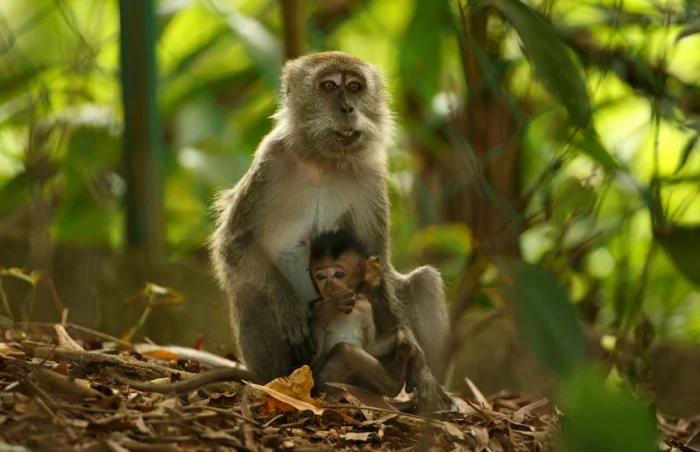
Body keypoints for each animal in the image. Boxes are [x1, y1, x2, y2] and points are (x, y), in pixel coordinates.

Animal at [209, 51, 448, 412]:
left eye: (354, 87)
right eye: (328, 86)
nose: (347, 108)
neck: (324, 160)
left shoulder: (370, 177)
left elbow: (377, 267)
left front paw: (420, 370)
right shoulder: (270, 159)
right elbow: (234, 242)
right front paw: (289, 306)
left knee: (425, 281)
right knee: (250, 290)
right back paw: (279, 383)